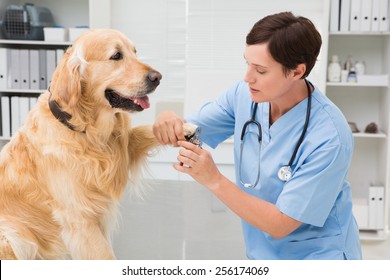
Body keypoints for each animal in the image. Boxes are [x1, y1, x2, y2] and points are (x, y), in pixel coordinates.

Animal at [0, 29, 193, 260]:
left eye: (135, 52)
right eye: (116, 56)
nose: (158, 78)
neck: (86, 131)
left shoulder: (122, 147)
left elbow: (144, 131)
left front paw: (180, 127)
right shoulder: (80, 218)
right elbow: (104, 256)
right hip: (14, 237)